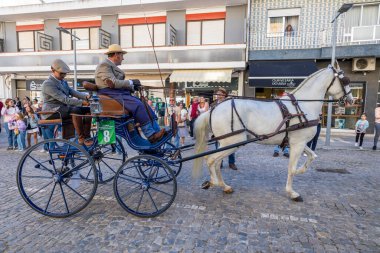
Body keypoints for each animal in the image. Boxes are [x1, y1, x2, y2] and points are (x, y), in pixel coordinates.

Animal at [194, 66, 354, 201]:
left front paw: (301, 171)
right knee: (210, 160)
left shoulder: (299, 142)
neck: (303, 106)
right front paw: (292, 192)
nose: (351, 100)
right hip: (233, 142)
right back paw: (213, 182)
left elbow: (312, 156)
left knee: (216, 162)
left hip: (225, 142)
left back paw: (224, 186)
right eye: (345, 80)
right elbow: (292, 168)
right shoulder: (298, 143)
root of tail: (213, 109)